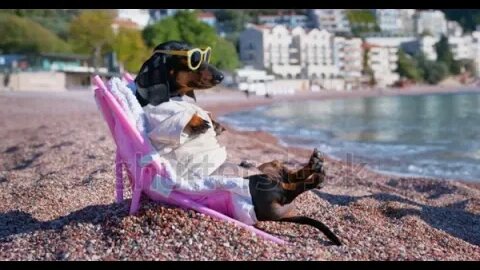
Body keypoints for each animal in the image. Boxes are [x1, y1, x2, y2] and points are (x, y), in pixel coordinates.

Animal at [131, 41, 342, 246]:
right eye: (193, 59)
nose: (221, 76)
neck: (176, 96)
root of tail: (281, 215)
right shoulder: (157, 122)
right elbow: (175, 120)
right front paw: (196, 120)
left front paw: (213, 122)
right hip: (261, 184)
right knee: (291, 189)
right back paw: (317, 177)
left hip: (271, 166)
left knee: (290, 178)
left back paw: (315, 164)